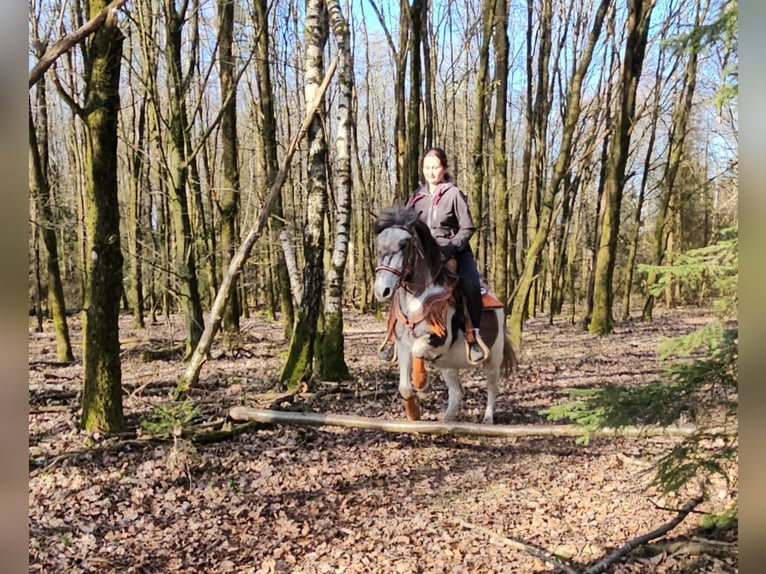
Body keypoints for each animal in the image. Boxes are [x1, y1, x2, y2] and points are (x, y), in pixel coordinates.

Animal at [373, 205, 517, 424]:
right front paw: (414, 414)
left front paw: (423, 385)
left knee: (492, 387)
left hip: (493, 357)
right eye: (379, 244)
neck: (416, 298)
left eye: (404, 244)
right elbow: (405, 386)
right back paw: (446, 421)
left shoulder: (440, 337)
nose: (382, 290)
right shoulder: (402, 344)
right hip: (449, 364)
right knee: (457, 392)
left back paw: (487, 418)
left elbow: (418, 349)